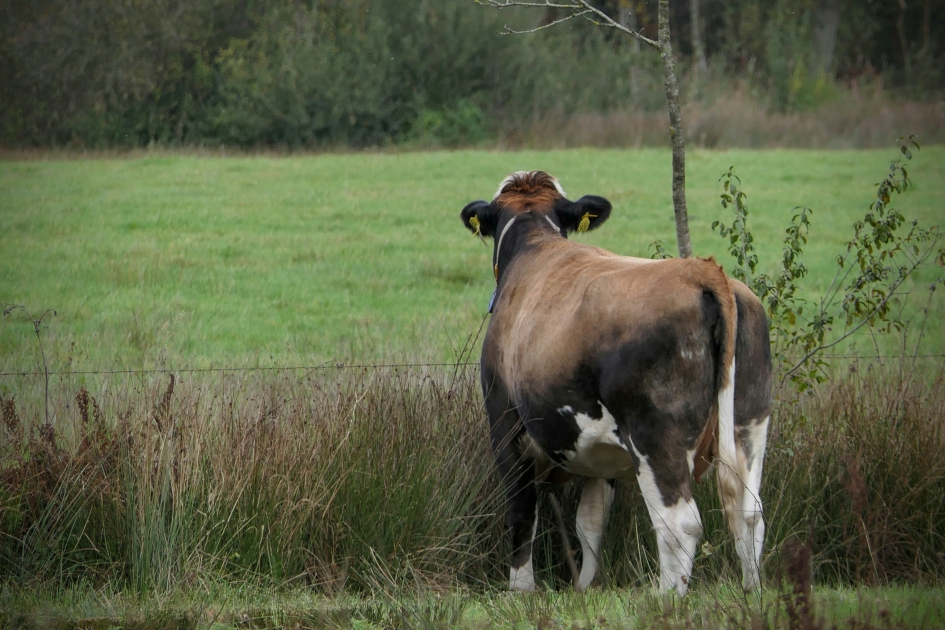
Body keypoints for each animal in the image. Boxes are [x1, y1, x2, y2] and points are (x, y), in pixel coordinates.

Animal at [459, 171, 772, 595]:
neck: (534, 241)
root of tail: (702, 271)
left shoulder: (504, 424)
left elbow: (522, 511)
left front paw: (521, 589)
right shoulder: (603, 452)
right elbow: (590, 522)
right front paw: (586, 587)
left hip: (656, 436)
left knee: (679, 522)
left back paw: (666, 597)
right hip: (750, 424)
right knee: (749, 512)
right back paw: (751, 592)